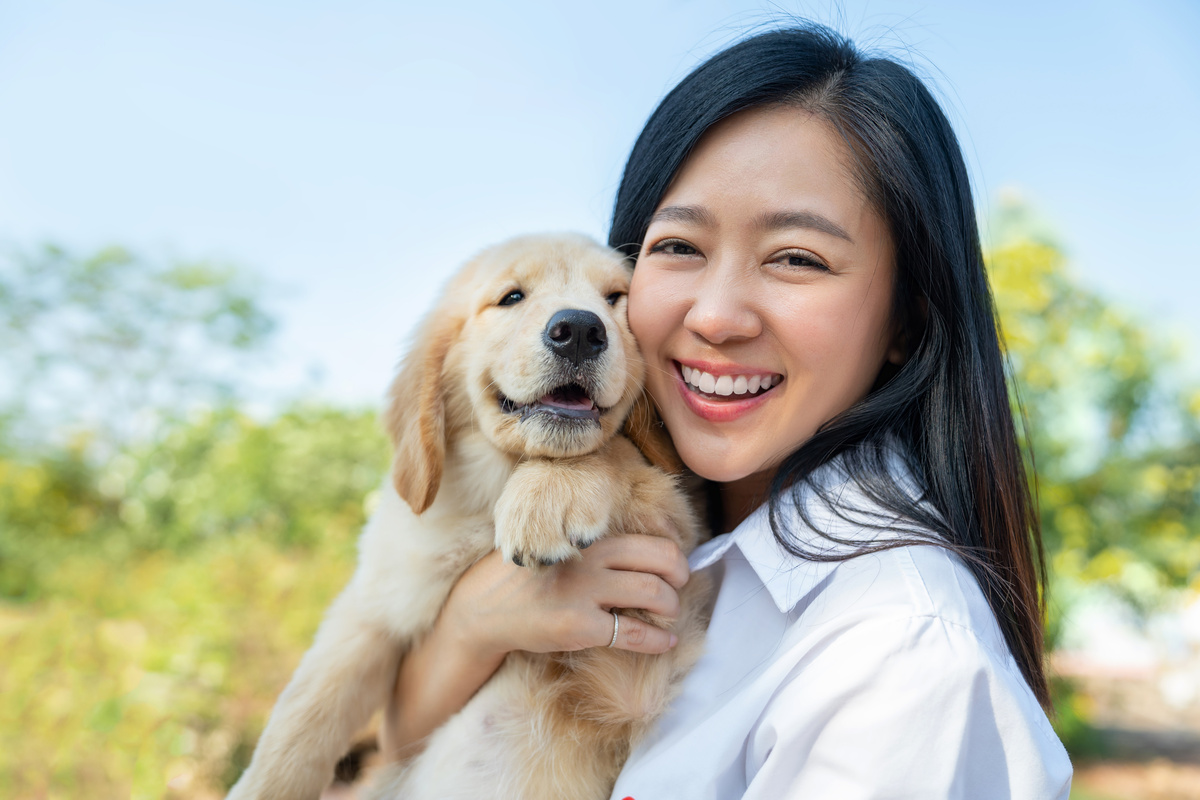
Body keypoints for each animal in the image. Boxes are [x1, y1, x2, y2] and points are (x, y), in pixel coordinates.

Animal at [229, 232, 705, 800]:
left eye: (615, 298)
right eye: (511, 298)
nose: (580, 330)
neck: (491, 492)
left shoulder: (648, 638)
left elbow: (614, 451)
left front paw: (547, 494)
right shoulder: (375, 605)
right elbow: (305, 714)